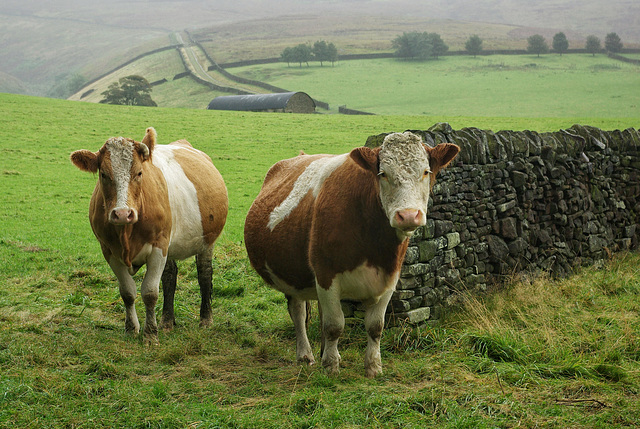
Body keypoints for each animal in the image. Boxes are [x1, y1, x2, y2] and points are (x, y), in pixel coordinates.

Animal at [70, 125, 228, 342]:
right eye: (103, 174)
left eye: (139, 173)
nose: (122, 213)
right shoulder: (109, 251)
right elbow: (128, 292)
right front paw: (131, 329)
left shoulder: (158, 247)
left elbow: (150, 293)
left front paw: (150, 334)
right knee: (170, 277)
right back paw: (167, 322)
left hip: (206, 241)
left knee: (204, 274)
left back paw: (205, 319)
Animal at [242, 132, 458, 376]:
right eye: (383, 174)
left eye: (425, 172)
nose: (409, 215)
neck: (374, 246)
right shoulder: (326, 276)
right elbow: (334, 326)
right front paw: (330, 366)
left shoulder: (389, 278)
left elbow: (375, 327)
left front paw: (373, 367)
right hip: (289, 273)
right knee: (297, 312)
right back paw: (305, 355)